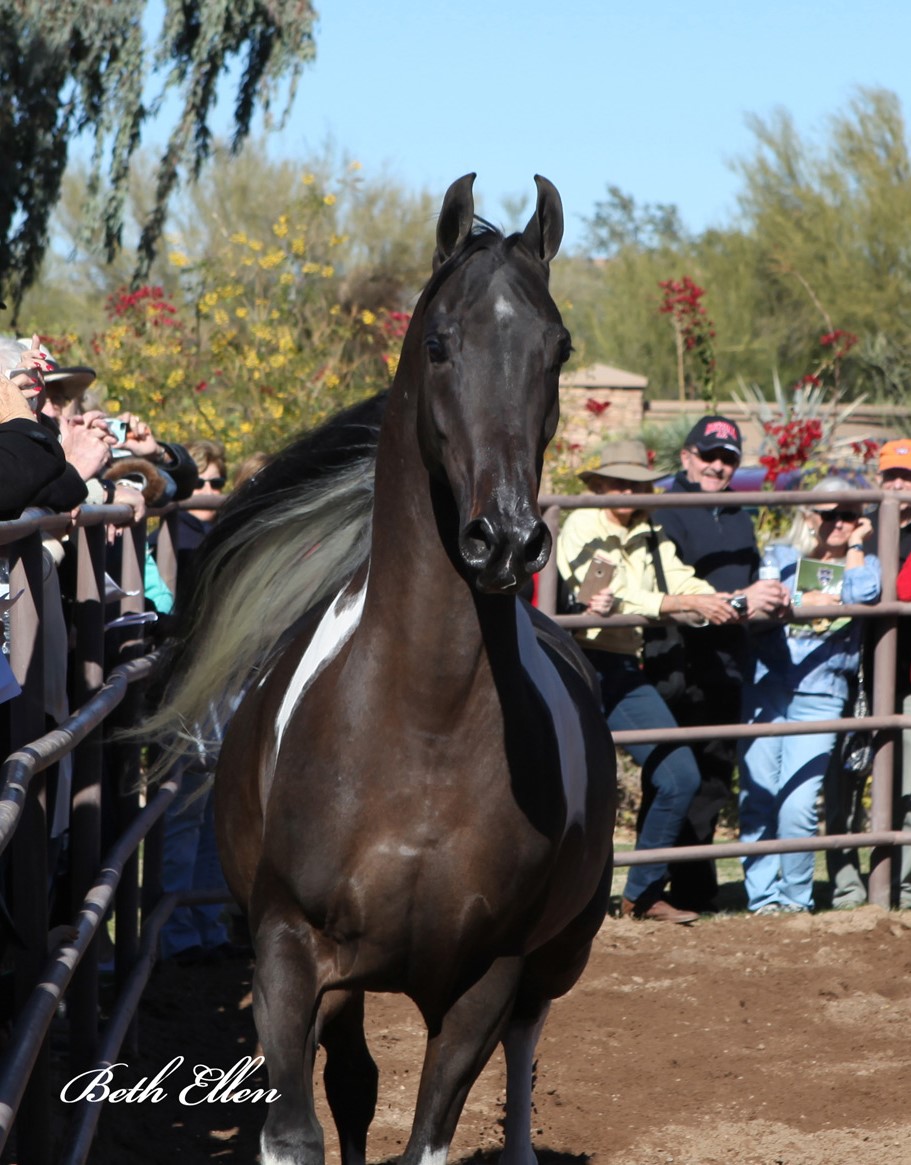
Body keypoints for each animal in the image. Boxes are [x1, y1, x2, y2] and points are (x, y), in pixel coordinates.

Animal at [163, 172, 615, 1165]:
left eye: (558, 346)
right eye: (439, 341)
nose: (505, 537)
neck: (423, 722)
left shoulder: (488, 976)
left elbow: (431, 1133)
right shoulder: (290, 954)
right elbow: (301, 1127)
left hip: (558, 956)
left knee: (523, 1047)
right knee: (355, 1081)